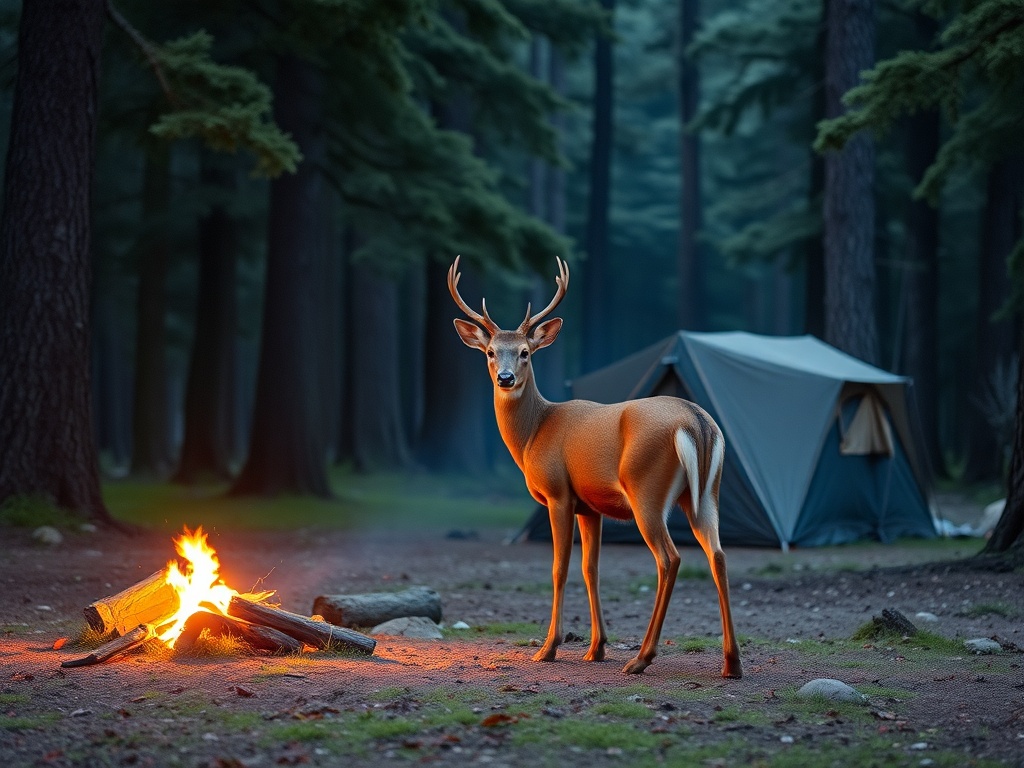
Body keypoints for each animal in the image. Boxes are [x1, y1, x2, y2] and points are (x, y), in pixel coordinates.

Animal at [449, 256, 742, 679]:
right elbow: (592, 568)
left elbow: (559, 568)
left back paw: (642, 658)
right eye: (489, 351)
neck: (534, 434)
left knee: (669, 558)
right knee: (718, 554)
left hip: (646, 489)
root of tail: (696, 422)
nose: (505, 378)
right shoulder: (591, 506)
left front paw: (549, 648)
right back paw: (731, 663)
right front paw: (596, 648)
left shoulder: (558, 493)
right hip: (707, 494)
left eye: (525, 352)